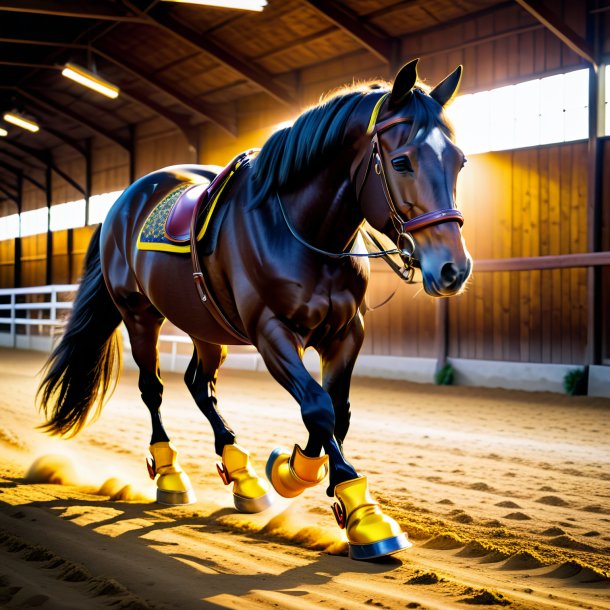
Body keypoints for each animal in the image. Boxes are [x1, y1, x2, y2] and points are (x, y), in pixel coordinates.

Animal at [36, 59, 470, 560]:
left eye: (459, 161)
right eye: (401, 162)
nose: (453, 269)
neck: (301, 231)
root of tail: (123, 202)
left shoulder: (346, 332)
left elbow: (336, 409)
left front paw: (312, 478)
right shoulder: (272, 333)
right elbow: (318, 407)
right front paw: (356, 510)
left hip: (204, 325)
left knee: (199, 385)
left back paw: (240, 474)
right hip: (140, 316)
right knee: (154, 390)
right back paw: (170, 474)